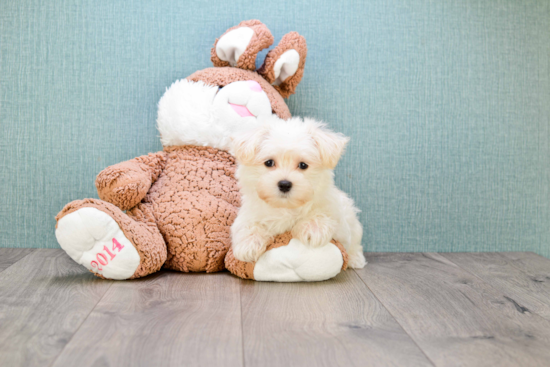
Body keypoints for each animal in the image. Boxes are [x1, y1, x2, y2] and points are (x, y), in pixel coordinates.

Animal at [231, 116, 368, 268]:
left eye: (303, 165)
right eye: (269, 163)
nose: (284, 184)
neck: (285, 207)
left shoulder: (335, 216)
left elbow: (323, 214)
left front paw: (313, 229)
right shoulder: (248, 214)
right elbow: (247, 225)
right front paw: (248, 245)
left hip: (352, 222)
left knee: (355, 244)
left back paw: (355, 259)